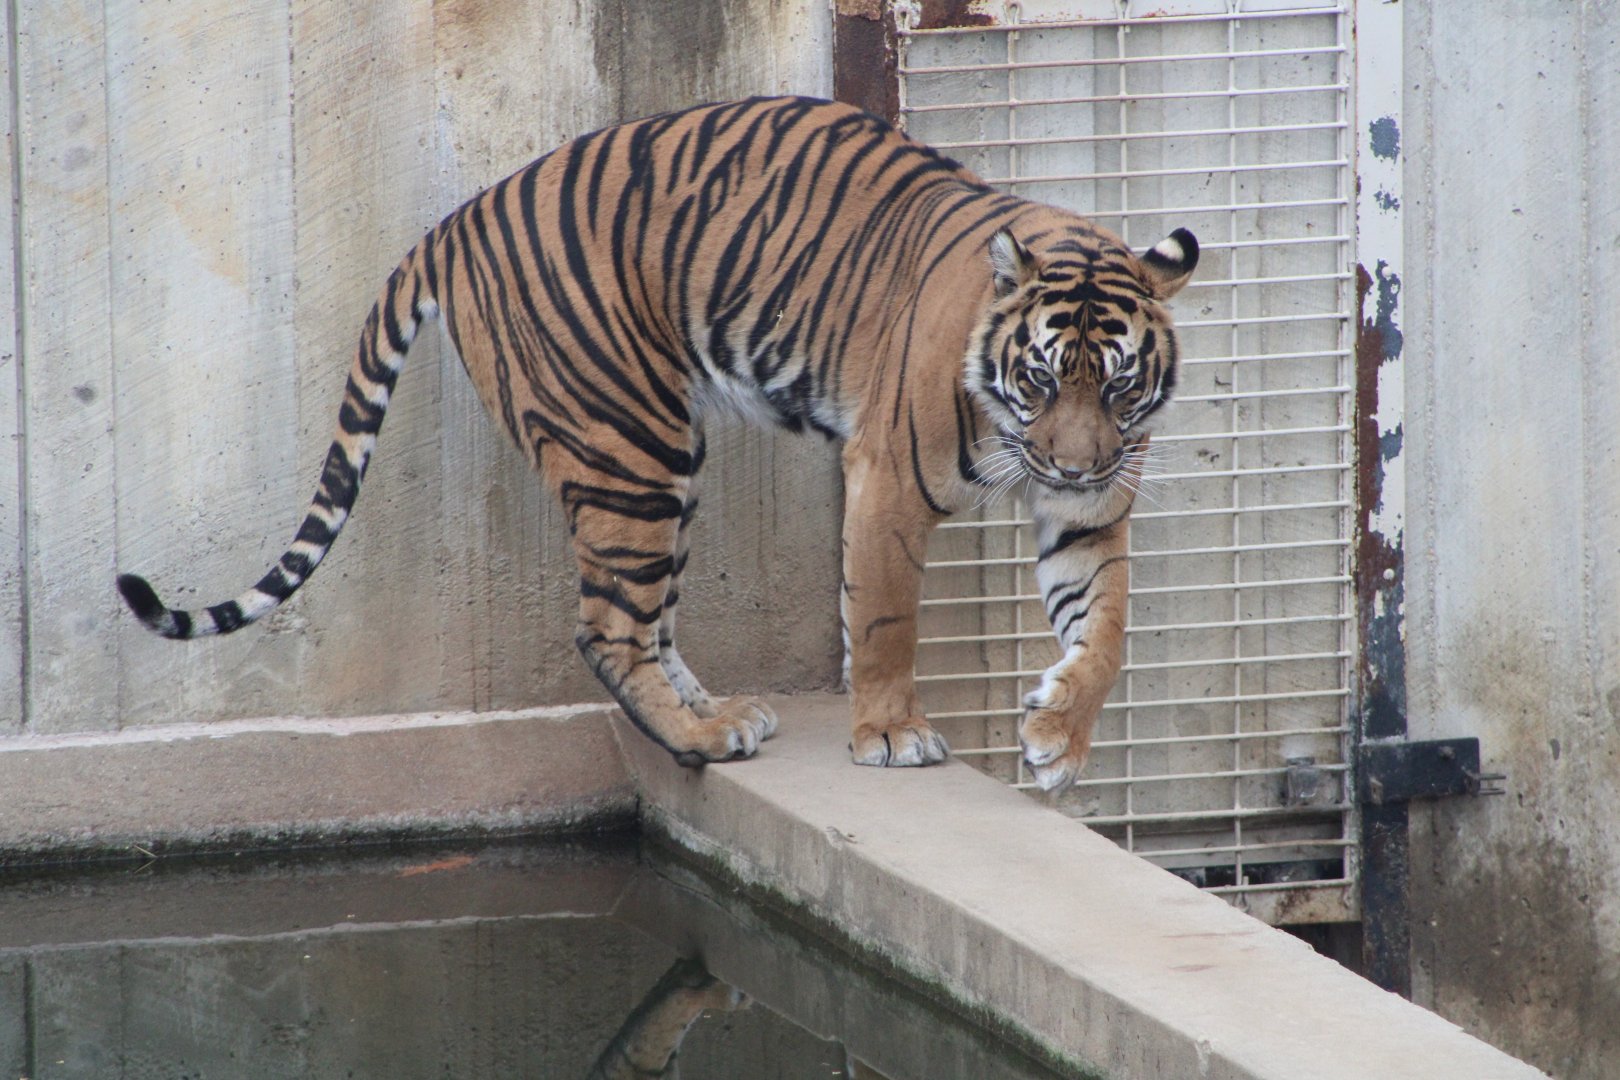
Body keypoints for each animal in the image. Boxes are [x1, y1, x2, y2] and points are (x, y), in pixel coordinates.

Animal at [117, 96, 1197, 793]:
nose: (1073, 464)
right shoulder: (889, 482)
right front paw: (891, 735)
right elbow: (887, 619)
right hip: (629, 444)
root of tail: (455, 221)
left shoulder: (1092, 513)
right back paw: (703, 737)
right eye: (1042, 378)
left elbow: (1106, 631)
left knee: (649, 617)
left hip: (659, 461)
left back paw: (719, 714)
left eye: (1119, 384)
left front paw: (1057, 739)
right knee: (606, 626)